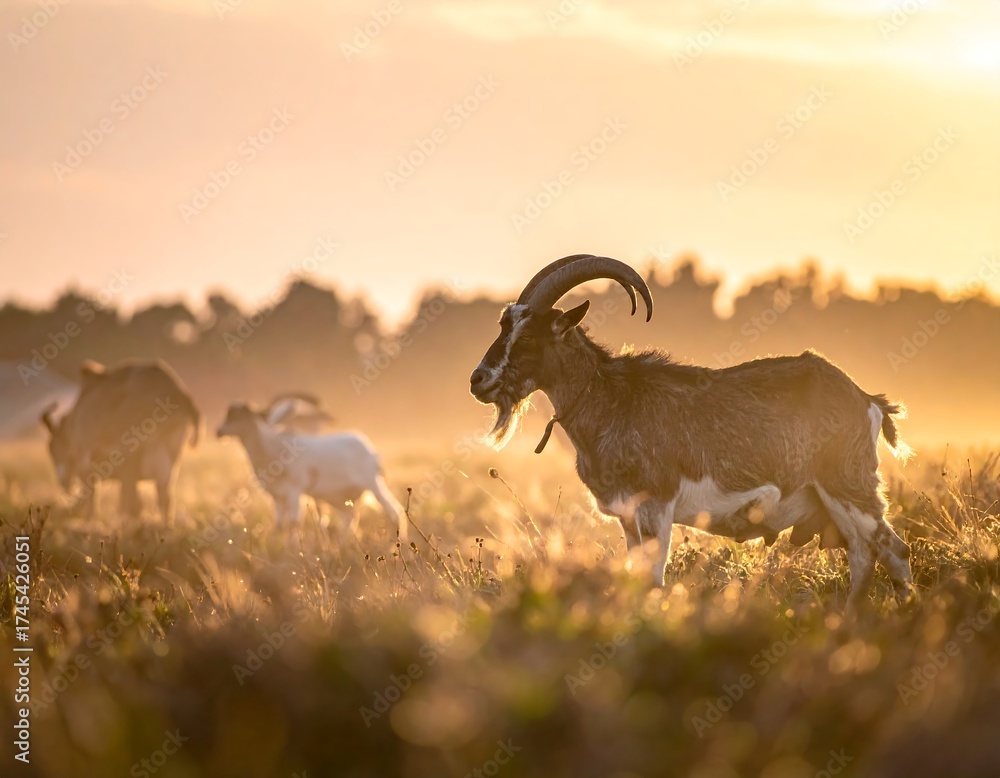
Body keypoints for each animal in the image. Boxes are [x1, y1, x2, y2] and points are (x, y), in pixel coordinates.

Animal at [216, 398, 406, 541]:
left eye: (241, 416)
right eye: (227, 414)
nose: (219, 431)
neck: (273, 448)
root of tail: (371, 450)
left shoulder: (294, 491)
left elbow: (293, 523)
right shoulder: (277, 496)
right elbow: (280, 525)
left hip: (373, 483)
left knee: (394, 512)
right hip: (342, 498)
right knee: (350, 518)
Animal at [469, 254, 912, 612]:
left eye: (528, 335)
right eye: (503, 325)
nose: (479, 380)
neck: (613, 400)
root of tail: (866, 399)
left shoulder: (655, 506)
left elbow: (653, 581)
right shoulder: (627, 517)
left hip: (848, 487)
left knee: (893, 550)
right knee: (864, 557)